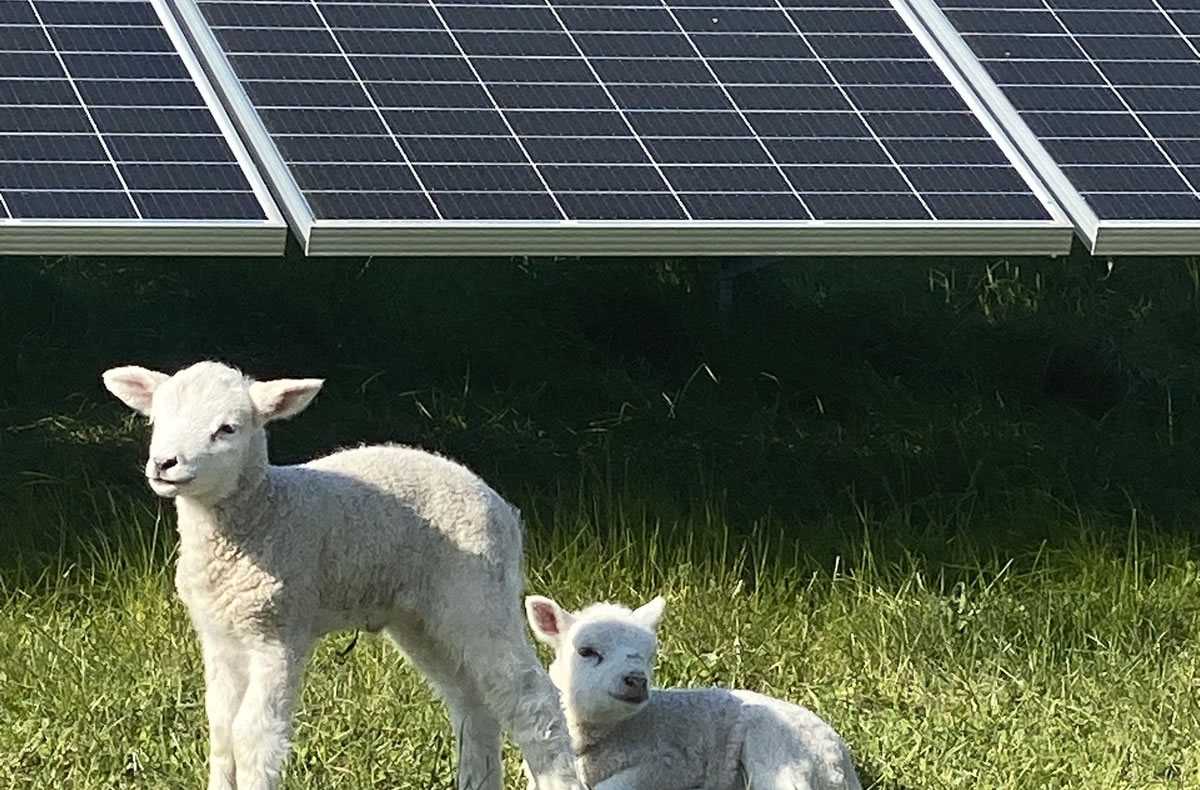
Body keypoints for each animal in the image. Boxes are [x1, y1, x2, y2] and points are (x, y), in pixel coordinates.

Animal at [101, 360, 584, 790]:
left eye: (227, 429)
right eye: (156, 419)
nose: (165, 463)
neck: (264, 514)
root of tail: (503, 508)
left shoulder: (279, 630)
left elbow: (252, 736)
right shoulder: (221, 636)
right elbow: (222, 736)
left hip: (479, 591)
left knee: (530, 699)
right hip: (422, 616)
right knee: (473, 701)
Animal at [523, 594, 862, 790]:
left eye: (650, 656)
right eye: (586, 651)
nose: (636, 680)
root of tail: (843, 767)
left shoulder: (663, 765)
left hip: (778, 749)